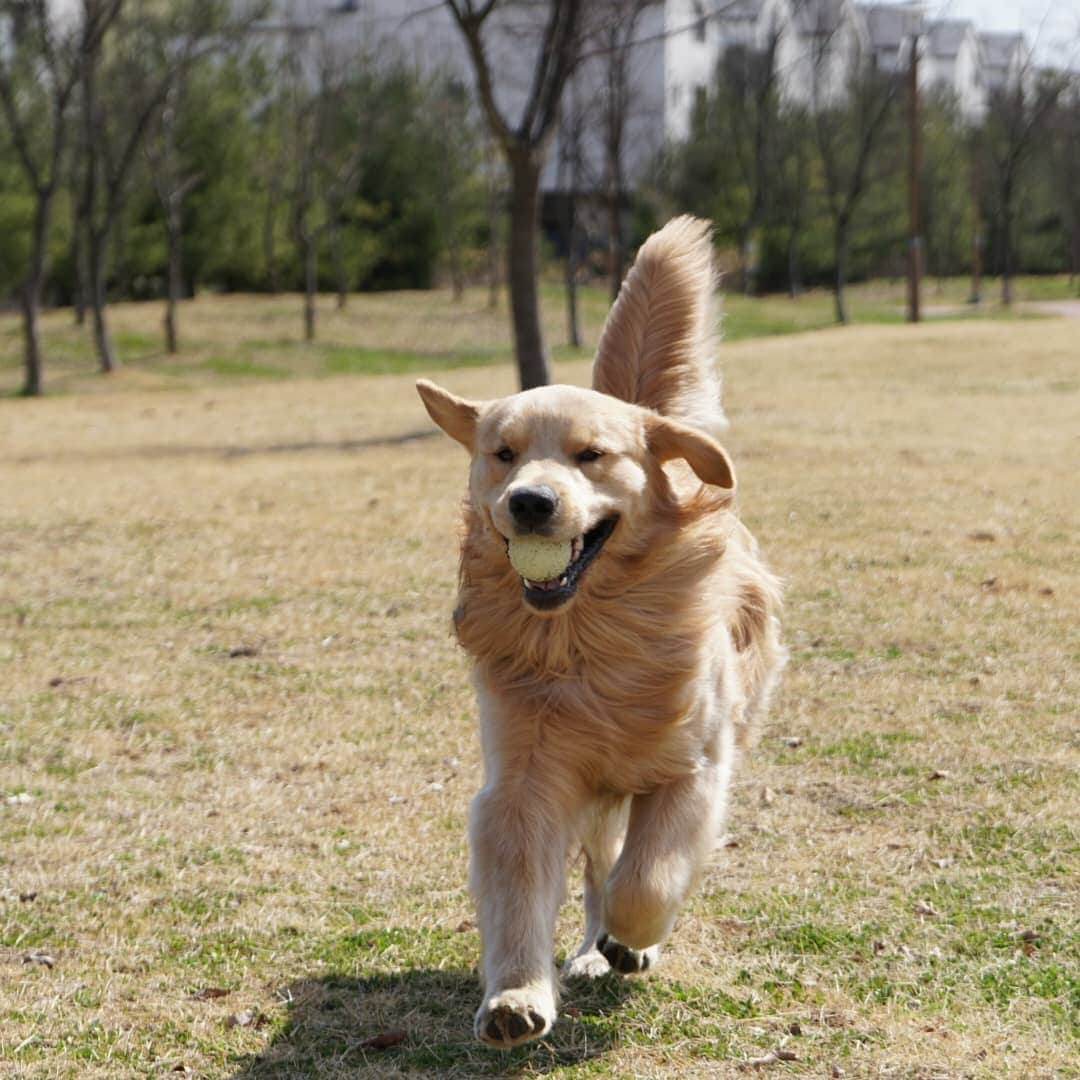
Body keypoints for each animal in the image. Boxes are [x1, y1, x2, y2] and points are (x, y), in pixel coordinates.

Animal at [414, 214, 786, 1049]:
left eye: (591, 455)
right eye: (503, 454)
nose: (530, 503)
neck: (589, 642)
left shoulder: (691, 769)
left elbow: (645, 879)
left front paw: (631, 935)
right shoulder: (525, 780)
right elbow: (524, 881)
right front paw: (517, 995)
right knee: (593, 865)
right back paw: (585, 949)